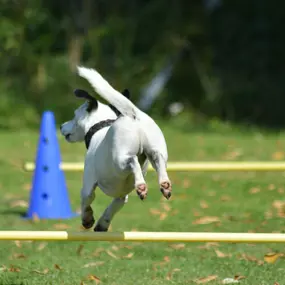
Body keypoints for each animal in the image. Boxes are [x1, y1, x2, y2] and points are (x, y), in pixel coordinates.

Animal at [60, 66, 171, 231]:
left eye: (74, 115)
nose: (61, 126)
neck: (100, 126)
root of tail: (133, 114)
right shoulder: (121, 196)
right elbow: (112, 208)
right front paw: (102, 224)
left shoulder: (87, 186)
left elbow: (86, 201)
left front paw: (87, 220)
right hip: (156, 151)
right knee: (159, 161)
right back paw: (164, 184)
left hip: (121, 160)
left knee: (133, 161)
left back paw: (141, 185)